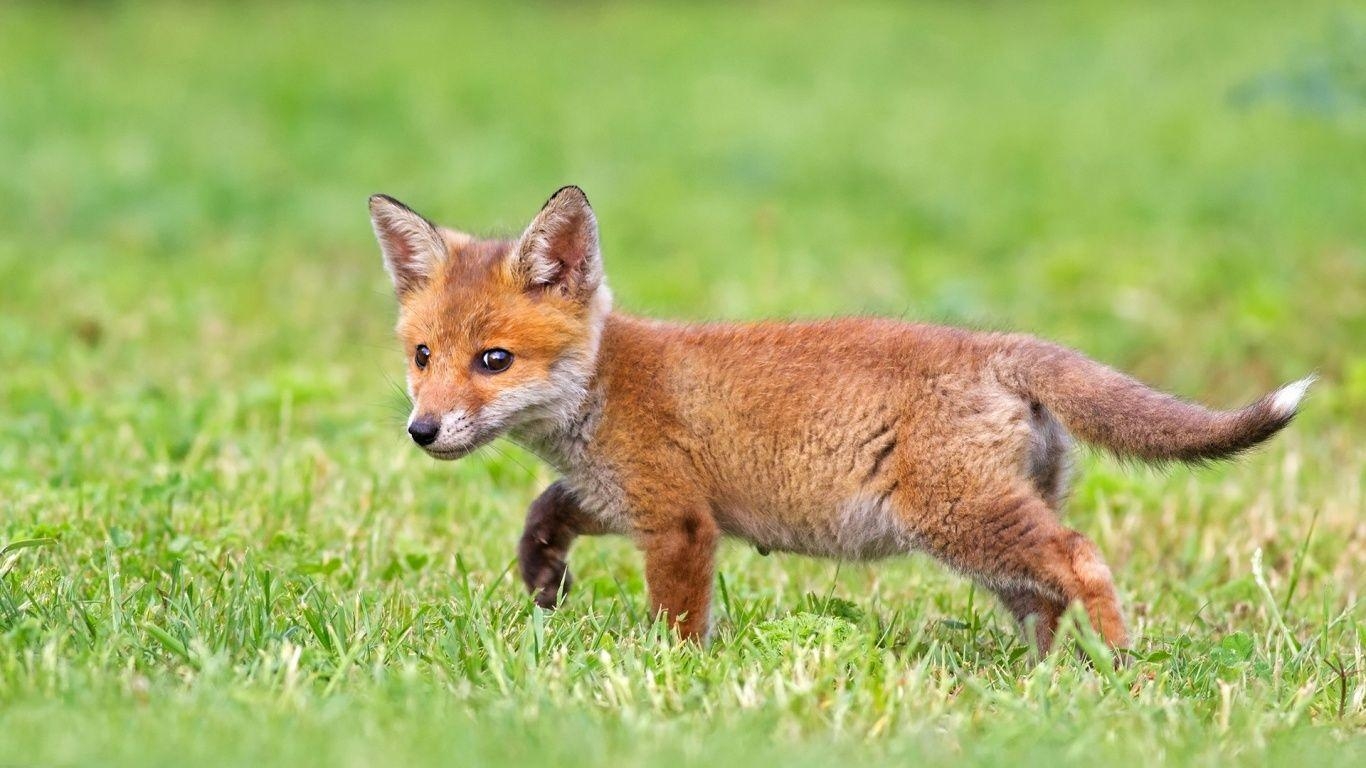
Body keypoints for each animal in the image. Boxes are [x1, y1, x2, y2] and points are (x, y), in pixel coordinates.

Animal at [368, 185, 1305, 645]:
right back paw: (1033, 687)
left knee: (1081, 561)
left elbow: (677, 624)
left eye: (494, 361)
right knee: (1044, 599)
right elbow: (545, 511)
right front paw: (543, 577)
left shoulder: (678, 521)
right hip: (985, 537)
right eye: (423, 357)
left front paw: (671, 681)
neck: (603, 385)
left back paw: (1119, 669)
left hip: (962, 519)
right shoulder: (621, 496)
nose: (422, 431)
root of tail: (999, 345)